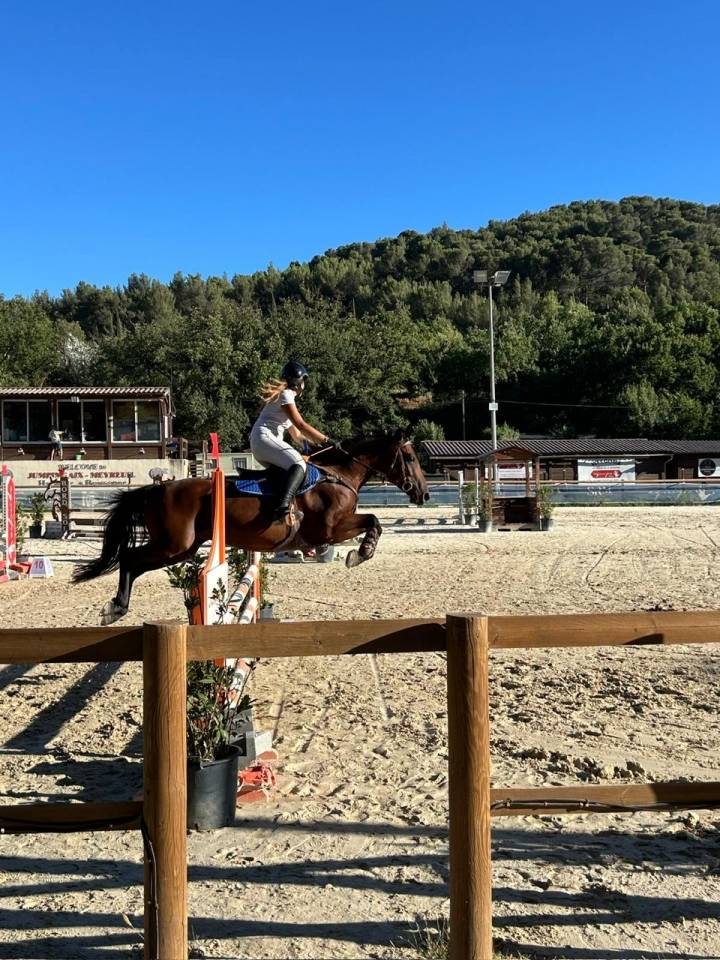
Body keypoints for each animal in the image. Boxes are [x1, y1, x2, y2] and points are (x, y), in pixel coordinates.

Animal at [73, 431, 429, 624]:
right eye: (411, 457)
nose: (424, 494)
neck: (338, 475)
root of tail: (158, 488)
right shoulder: (330, 529)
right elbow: (373, 521)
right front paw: (360, 553)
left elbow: (373, 520)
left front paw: (360, 552)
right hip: (173, 545)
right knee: (129, 559)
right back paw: (115, 608)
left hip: (179, 548)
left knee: (132, 563)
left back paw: (116, 608)